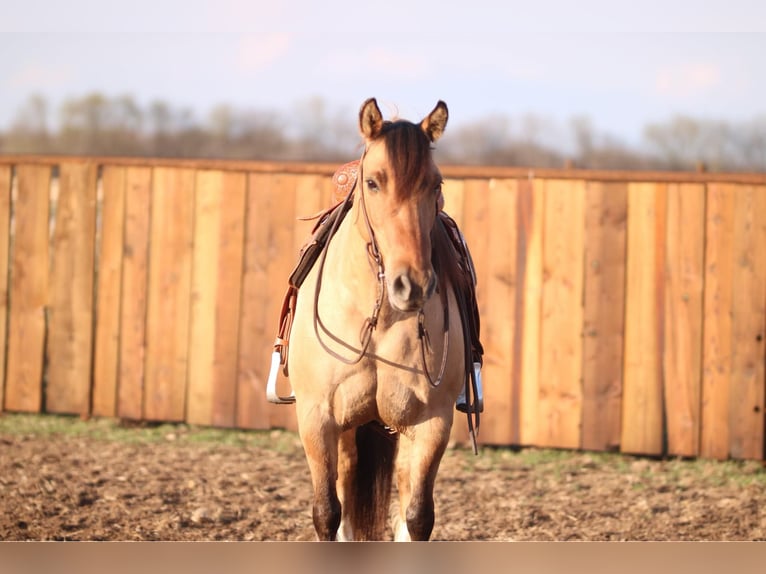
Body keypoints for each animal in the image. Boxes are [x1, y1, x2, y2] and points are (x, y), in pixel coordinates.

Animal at [280, 99, 476, 544]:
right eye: (373, 183)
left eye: (434, 185)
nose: (412, 283)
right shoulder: (317, 420)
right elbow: (327, 513)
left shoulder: (432, 422)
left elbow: (418, 517)